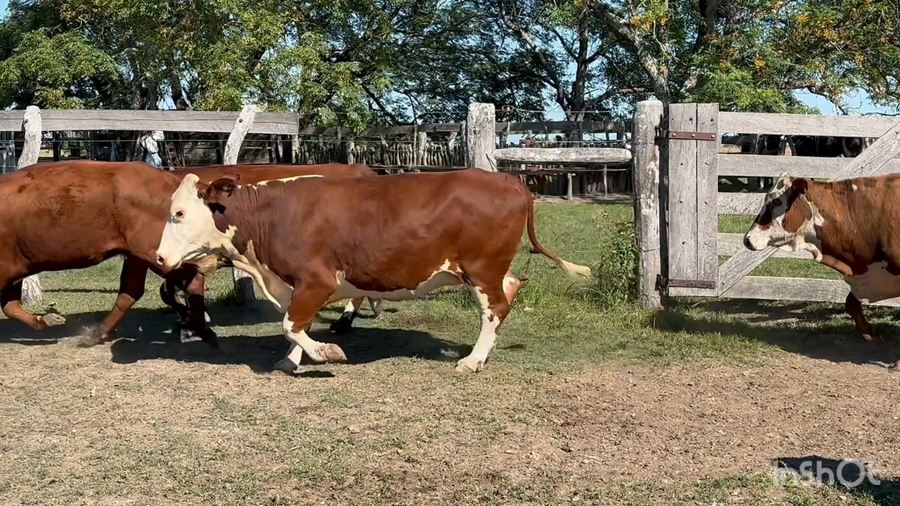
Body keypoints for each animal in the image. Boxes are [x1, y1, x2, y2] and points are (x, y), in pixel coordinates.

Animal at [154, 169, 592, 374]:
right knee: (510, 291)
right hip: (492, 269)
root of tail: (507, 180)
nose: (158, 258)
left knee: (494, 309)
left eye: (179, 214)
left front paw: (325, 353)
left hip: (481, 268)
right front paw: (290, 361)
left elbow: (291, 324)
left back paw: (473, 359)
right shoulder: (292, 285)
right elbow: (294, 325)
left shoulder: (317, 280)